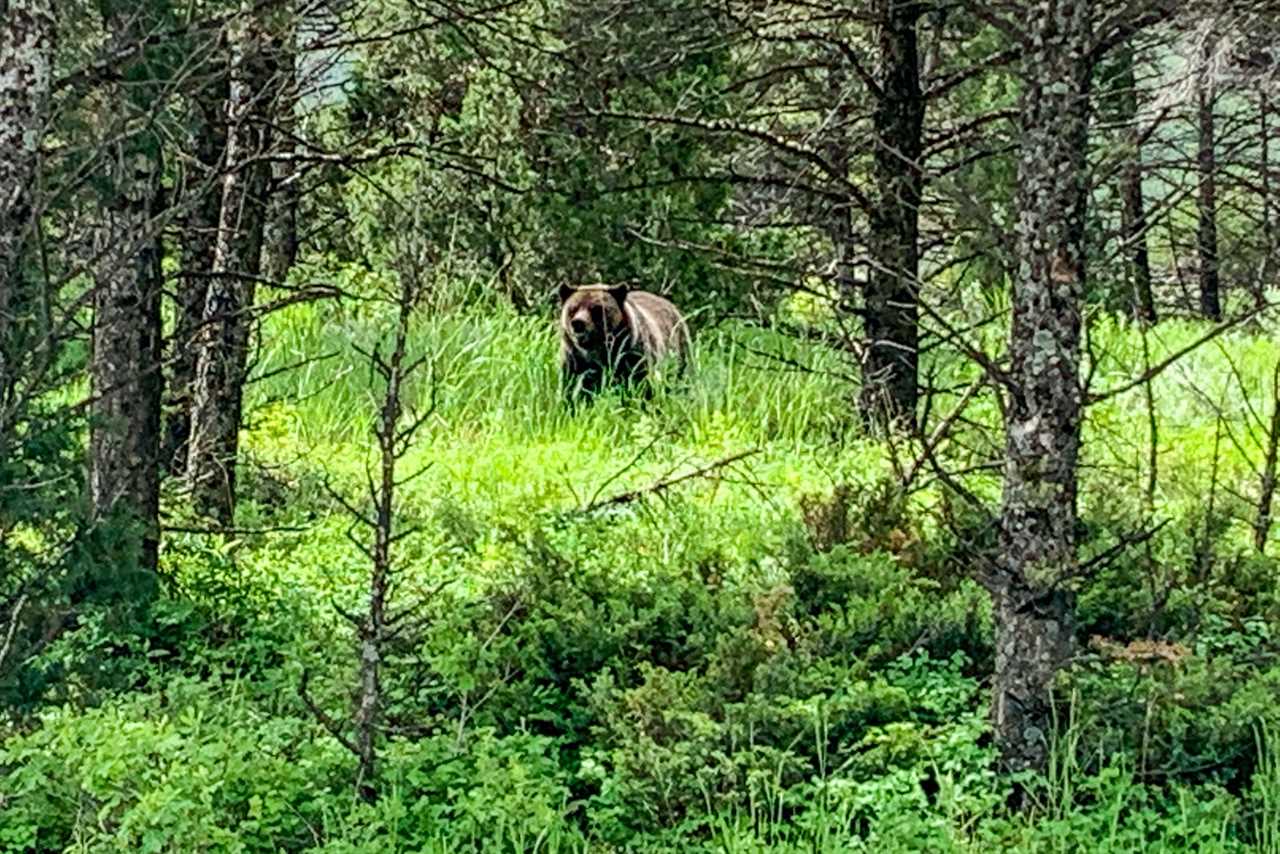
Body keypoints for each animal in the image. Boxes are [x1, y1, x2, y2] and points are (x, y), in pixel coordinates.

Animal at [560, 280, 691, 402]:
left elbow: (642, 387)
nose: (578, 323)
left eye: (596, 309)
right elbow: (573, 390)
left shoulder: (633, 356)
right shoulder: (576, 362)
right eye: (573, 309)